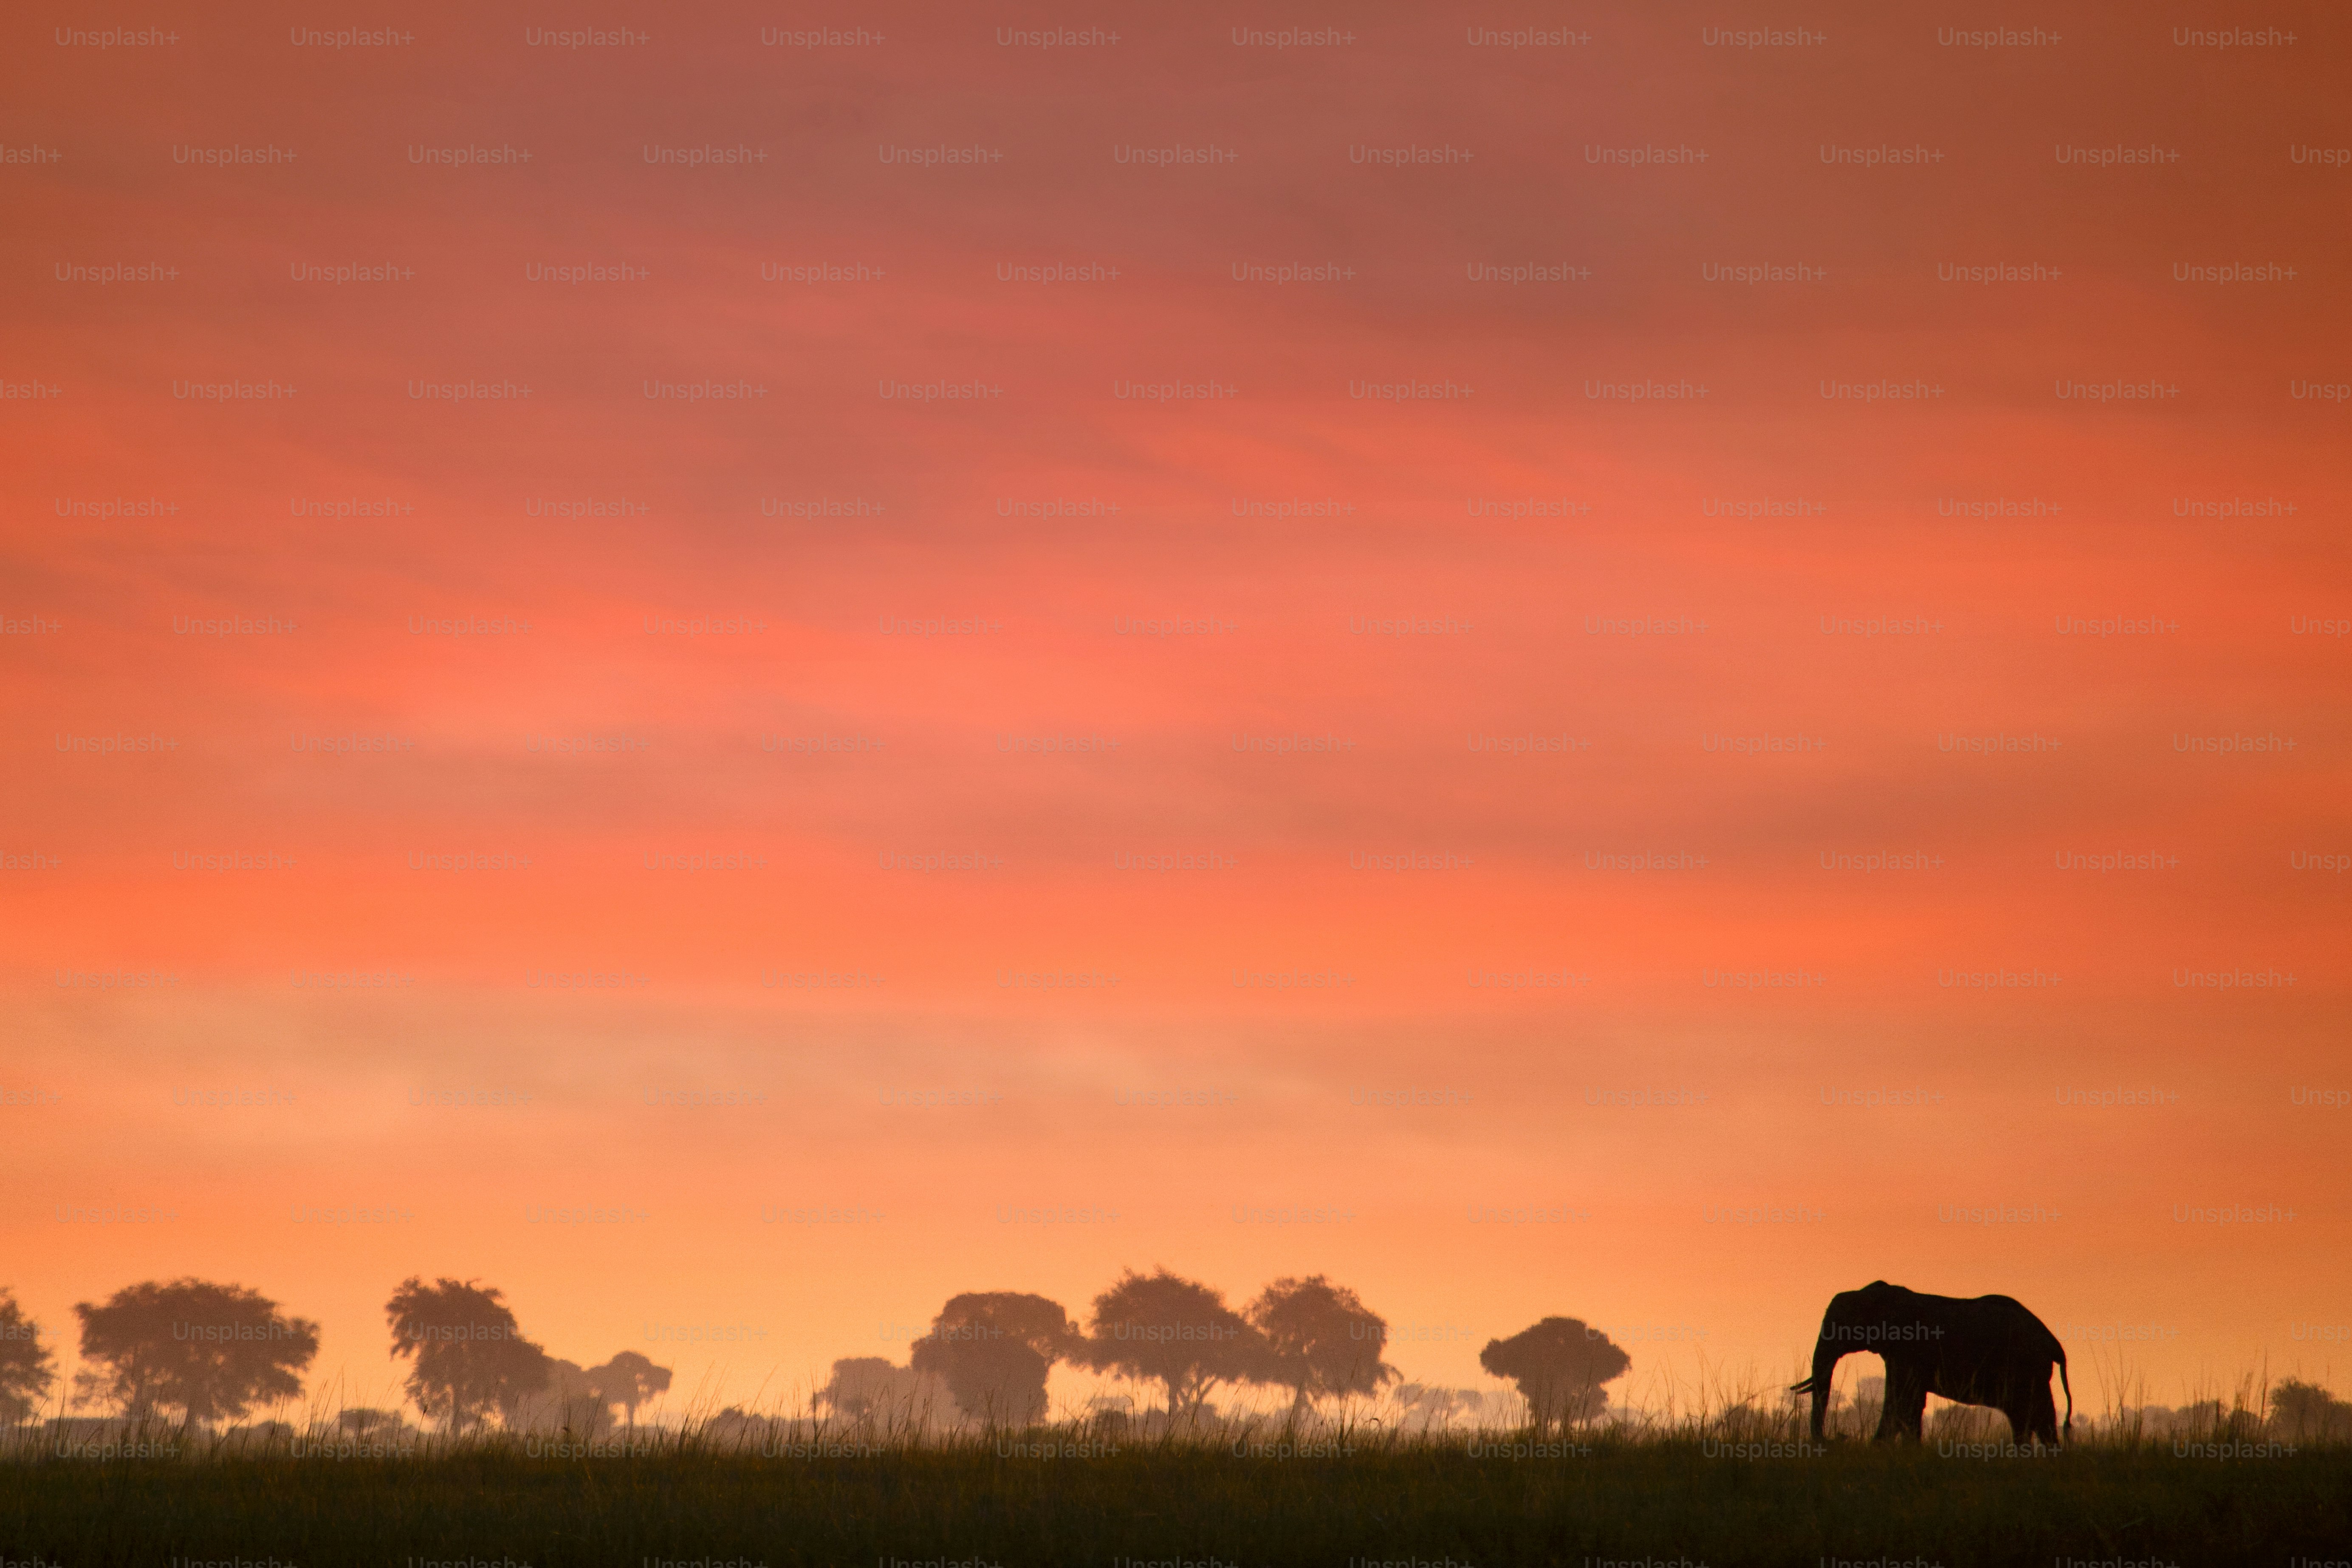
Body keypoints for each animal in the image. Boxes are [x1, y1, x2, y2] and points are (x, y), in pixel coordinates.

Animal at [1790, 1280, 2071, 1445]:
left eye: (1841, 1326)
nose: (1835, 1439)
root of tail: (2054, 1343)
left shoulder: (1907, 1349)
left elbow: (1900, 1400)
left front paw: (1879, 1449)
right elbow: (1910, 1403)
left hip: (2027, 1368)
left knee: (2034, 1416)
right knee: (2029, 1418)